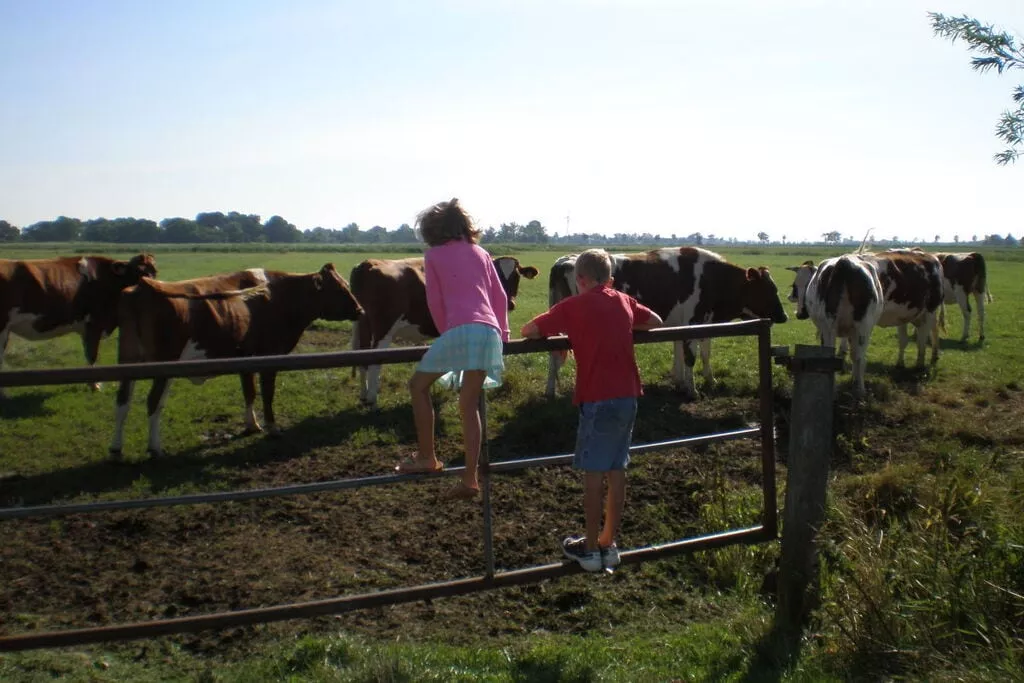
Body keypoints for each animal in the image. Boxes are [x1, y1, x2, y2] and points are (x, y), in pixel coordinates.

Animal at [0, 254, 157, 395]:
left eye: (154, 271)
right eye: (138, 271)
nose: (152, 286)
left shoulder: (86, 329)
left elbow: (87, 353)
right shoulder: (94, 324)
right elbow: (92, 354)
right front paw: (94, 385)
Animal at [108, 264, 362, 458]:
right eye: (340, 288)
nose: (360, 310)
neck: (279, 296)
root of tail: (143, 287)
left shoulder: (245, 358)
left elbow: (249, 391)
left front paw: (252, 425)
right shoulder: (269, 356)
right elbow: (267, 392)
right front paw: (272, 427)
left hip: (128, 362)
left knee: (123, 402)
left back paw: (116, 449)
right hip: (163, 366)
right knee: (153, 402)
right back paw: (155, 448)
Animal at [350, 255, 544, 405]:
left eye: (516, 276)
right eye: (496, 275)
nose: (510, 303)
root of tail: (367, 264)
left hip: (363, 325)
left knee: (362, 357)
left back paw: (364, 395)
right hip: (383, 329)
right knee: (374, 361)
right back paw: (372, 399)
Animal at [548, 248, 786, 401]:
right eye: (768, 290)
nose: (784, 316)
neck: (713, 279)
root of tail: (566, 260)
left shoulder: (700, 323)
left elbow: (699, 353)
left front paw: (703, 380)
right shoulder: (692, 322)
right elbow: (690, 356)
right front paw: (691, 390)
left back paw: (552, 391)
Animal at [786, 249, 946, 395]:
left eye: (804, 285)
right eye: (795, 286)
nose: (800, 313)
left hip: (929, 310)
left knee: (924, 337)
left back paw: (921, 364)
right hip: (905, 316)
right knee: (906, 339)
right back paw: (905, 363)